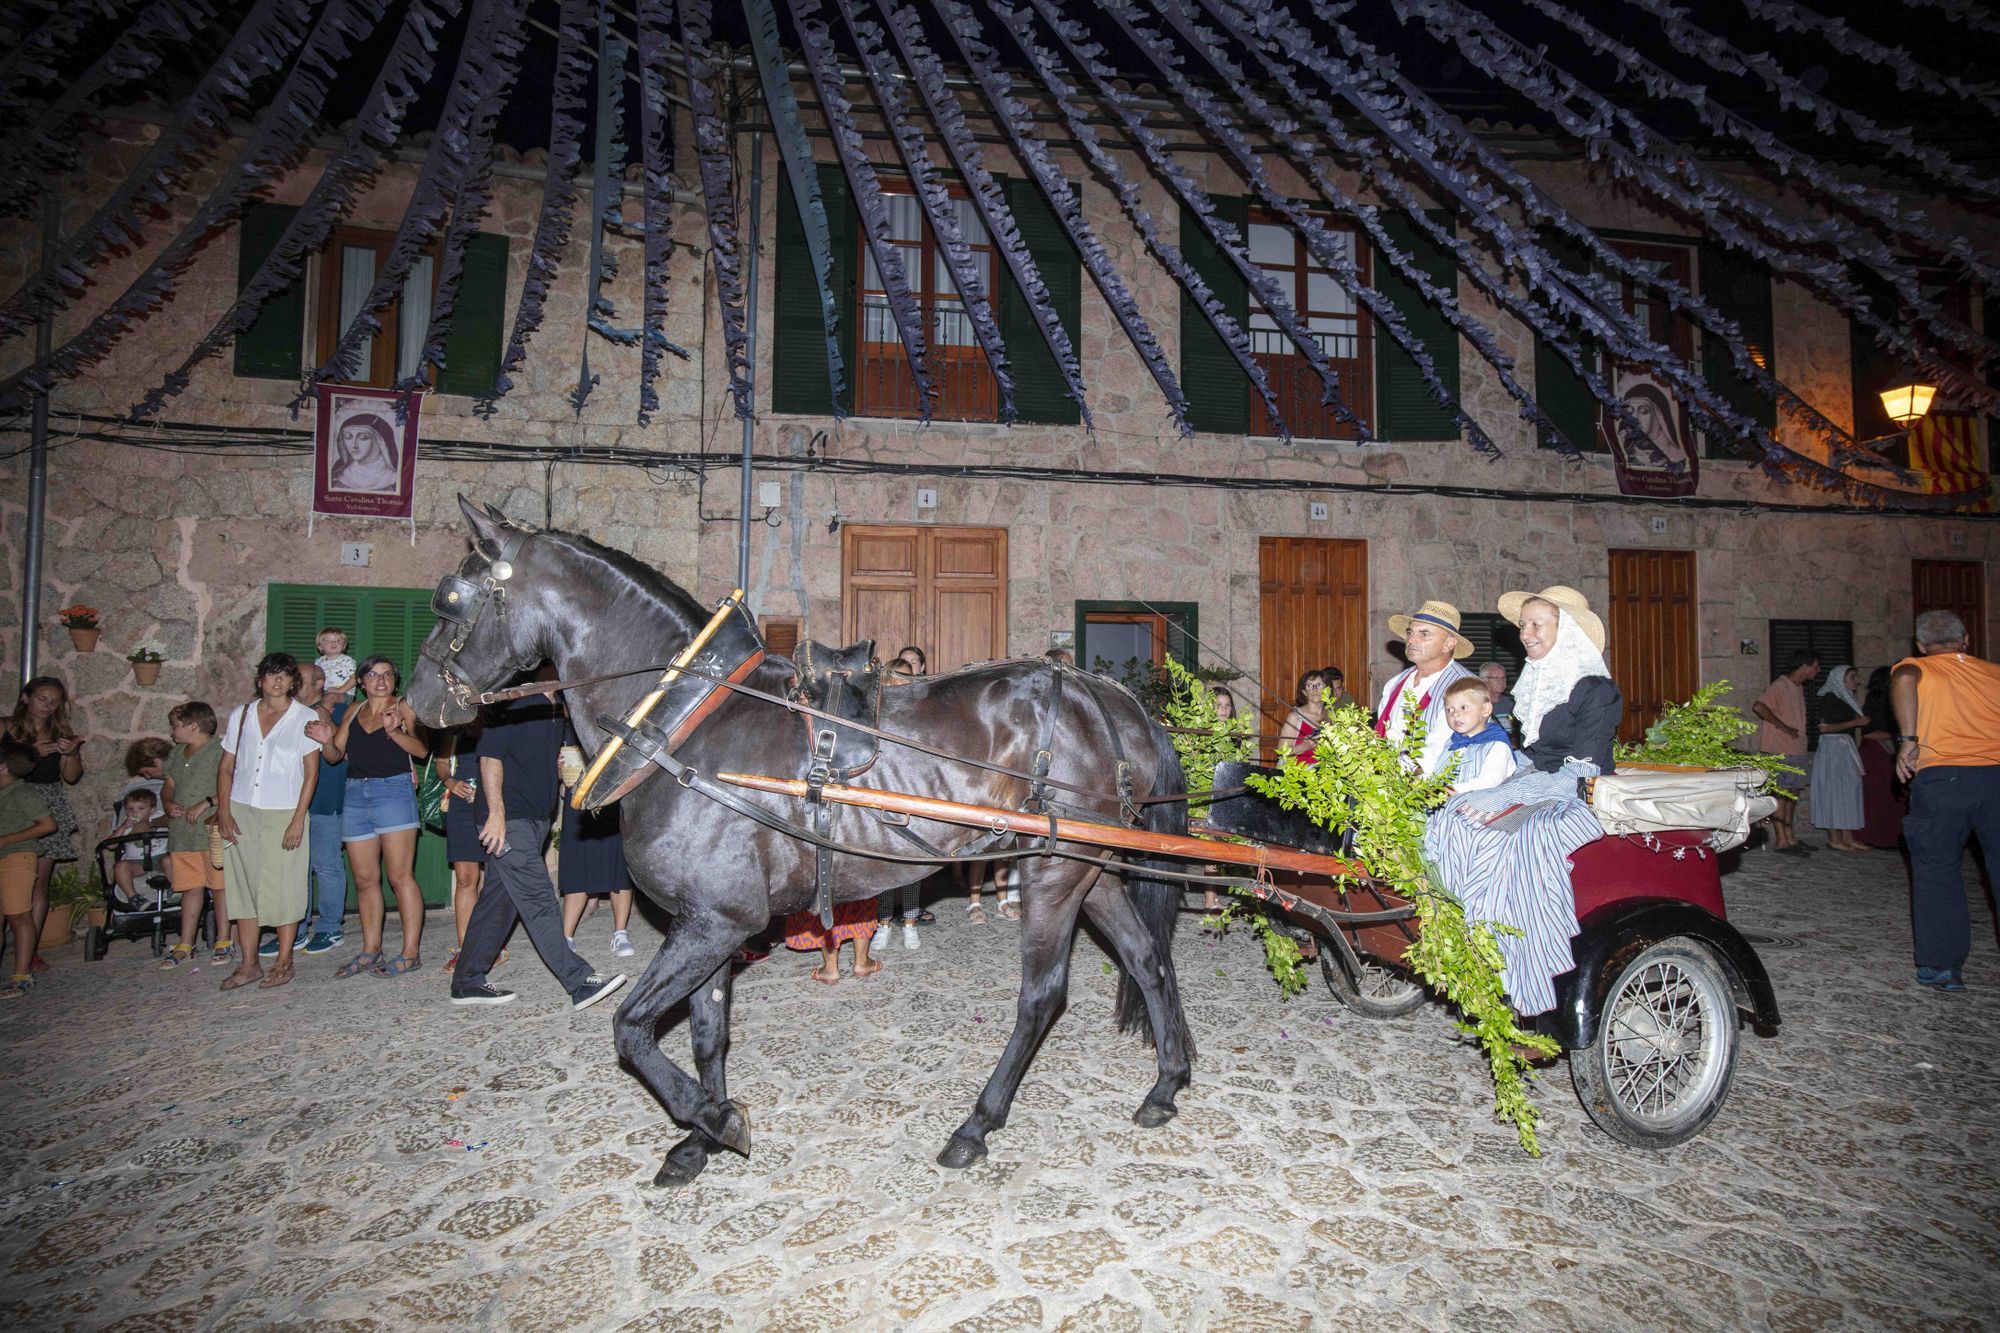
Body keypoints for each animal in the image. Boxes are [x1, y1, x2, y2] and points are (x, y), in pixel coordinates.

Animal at [404, 500, 1184, 1184]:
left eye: (450, 600)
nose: (418, 703)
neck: (683, 721)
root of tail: (1113, 699)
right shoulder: (706, 922)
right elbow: (706, 1032)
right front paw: (697, 1139)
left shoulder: (719, 920)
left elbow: (629, 1028)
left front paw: (715, 1119)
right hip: (1090, 870)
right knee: (1146, 957)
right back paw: (1166, 1084)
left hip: (1053, 873)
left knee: (1042, 997)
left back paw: (975, 1125)